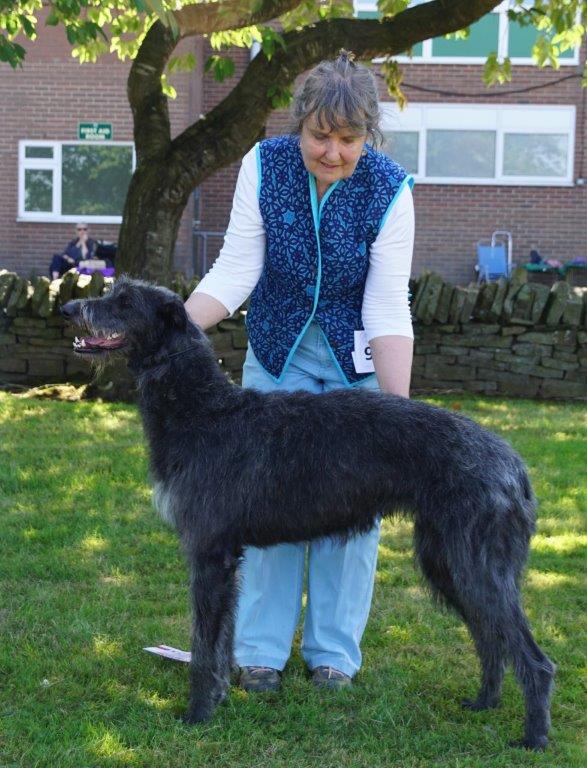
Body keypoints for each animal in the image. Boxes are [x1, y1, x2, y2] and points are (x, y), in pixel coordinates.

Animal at [63, 278, 556, 752]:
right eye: (113, 291)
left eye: (125, 301)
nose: (68, 309)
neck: (202, 408)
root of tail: (514, 464)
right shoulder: (227, 559)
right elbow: (222, 640)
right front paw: (220, 697)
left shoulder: (210, 553)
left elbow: (204, 644)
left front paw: (197, 714)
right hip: (446, 561)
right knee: (491, 640)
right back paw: (484, 703)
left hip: (476, 562)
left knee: (534, 658)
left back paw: (533, 738)